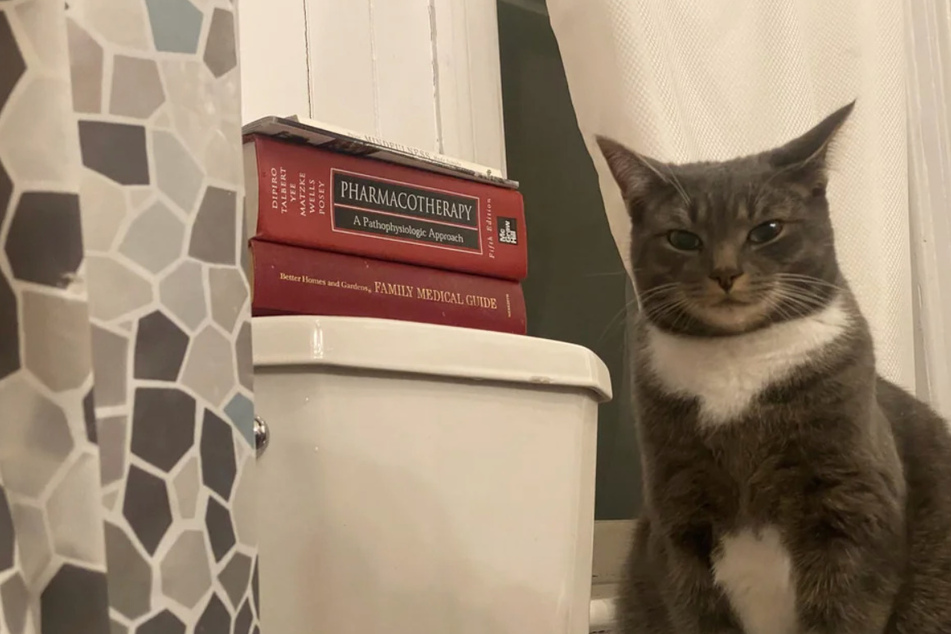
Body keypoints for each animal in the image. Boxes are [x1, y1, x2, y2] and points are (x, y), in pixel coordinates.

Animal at [600, 100, 951, 632]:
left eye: (767, 229)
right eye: (682, 238)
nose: (725, 272)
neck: (736, 362)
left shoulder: (852, 499)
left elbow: (843, 608)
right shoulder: (677, 510)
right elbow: (694, 606)